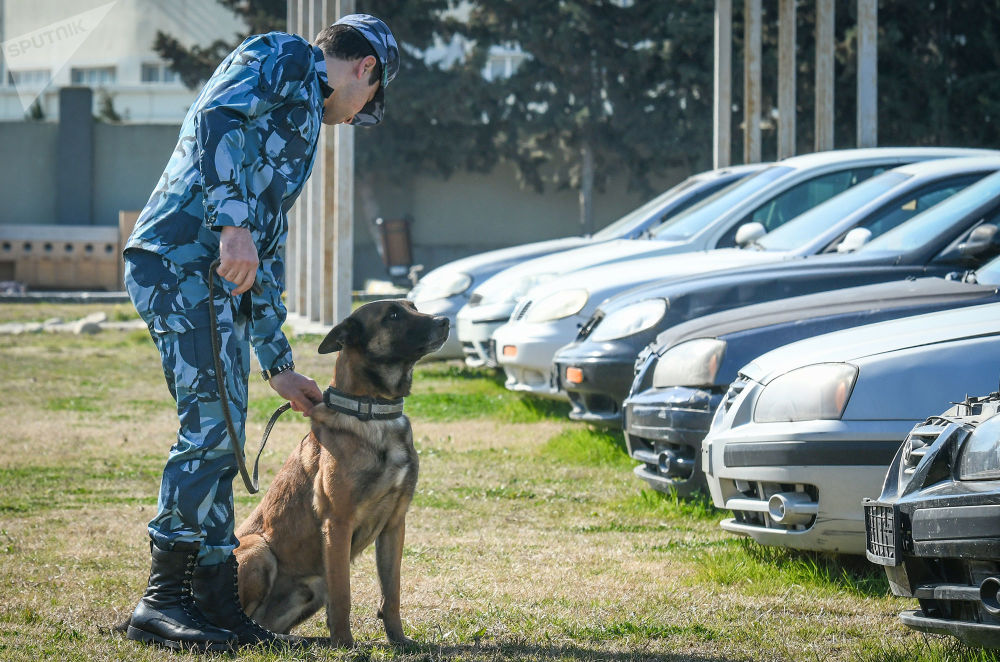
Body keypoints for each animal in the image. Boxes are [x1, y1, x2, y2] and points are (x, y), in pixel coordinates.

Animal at [232, 300, 448, 648]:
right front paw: (345, 644)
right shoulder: (338, 524)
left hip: (313, 586)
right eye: (393, 315)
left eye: (412, 307)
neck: (374, 412)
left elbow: (392, 593)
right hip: (259, 550)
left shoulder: (394, 525)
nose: (445, 321)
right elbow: (343, 595)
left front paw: (399, 640)